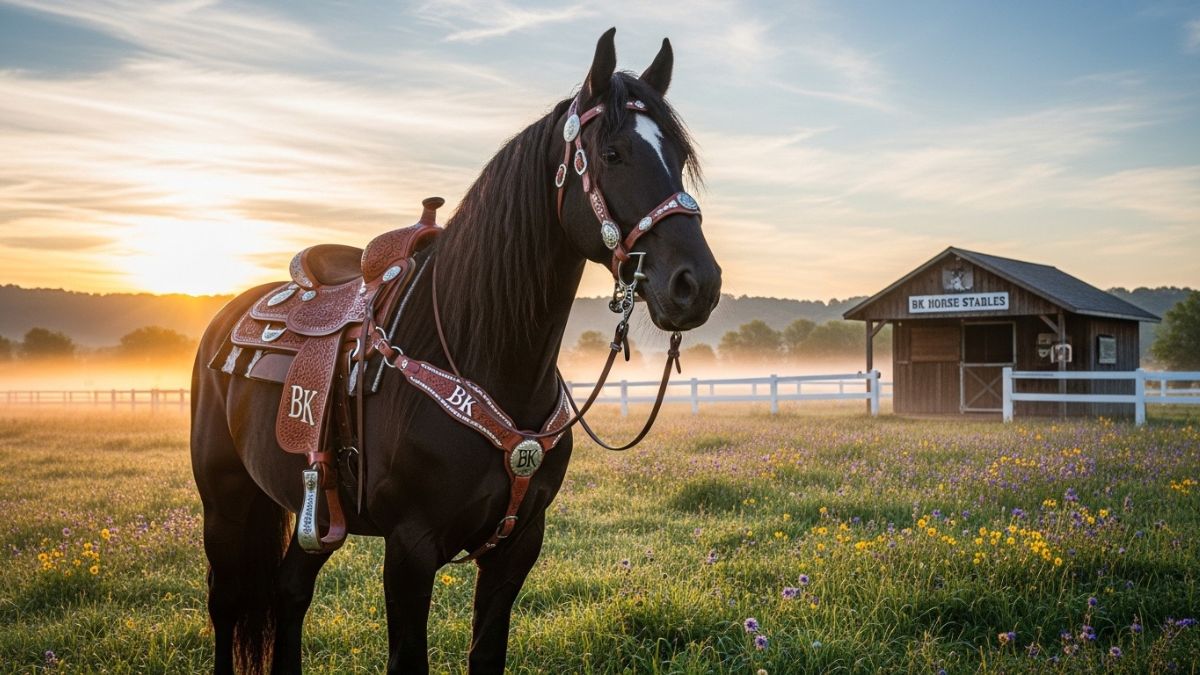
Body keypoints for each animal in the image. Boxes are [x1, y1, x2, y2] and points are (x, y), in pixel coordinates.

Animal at [190, 28, 722, 674]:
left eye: (678, 158)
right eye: (614, 154)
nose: (696, 284)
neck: (481, 353)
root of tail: (229, 316)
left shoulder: (517, 546)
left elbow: (485, 653)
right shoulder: (410, 550)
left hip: (317, 517)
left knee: (290, 591)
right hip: (225, 500)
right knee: (227, 602)